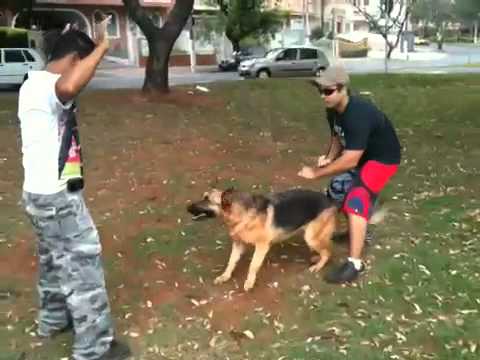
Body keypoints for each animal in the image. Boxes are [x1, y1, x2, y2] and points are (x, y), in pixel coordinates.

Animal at [186, 188, 336, 292]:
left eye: (207, 199)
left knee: (328, 252)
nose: (187, 207)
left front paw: (249, 282)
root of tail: (330, 201)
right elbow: (231, 262)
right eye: (204, 197)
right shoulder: (238, 244)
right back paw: (316, 258)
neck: (241, 214)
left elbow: (253, 265)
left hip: (311, 237)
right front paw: (225, 276)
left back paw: (318, 265)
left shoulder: (262, 246)